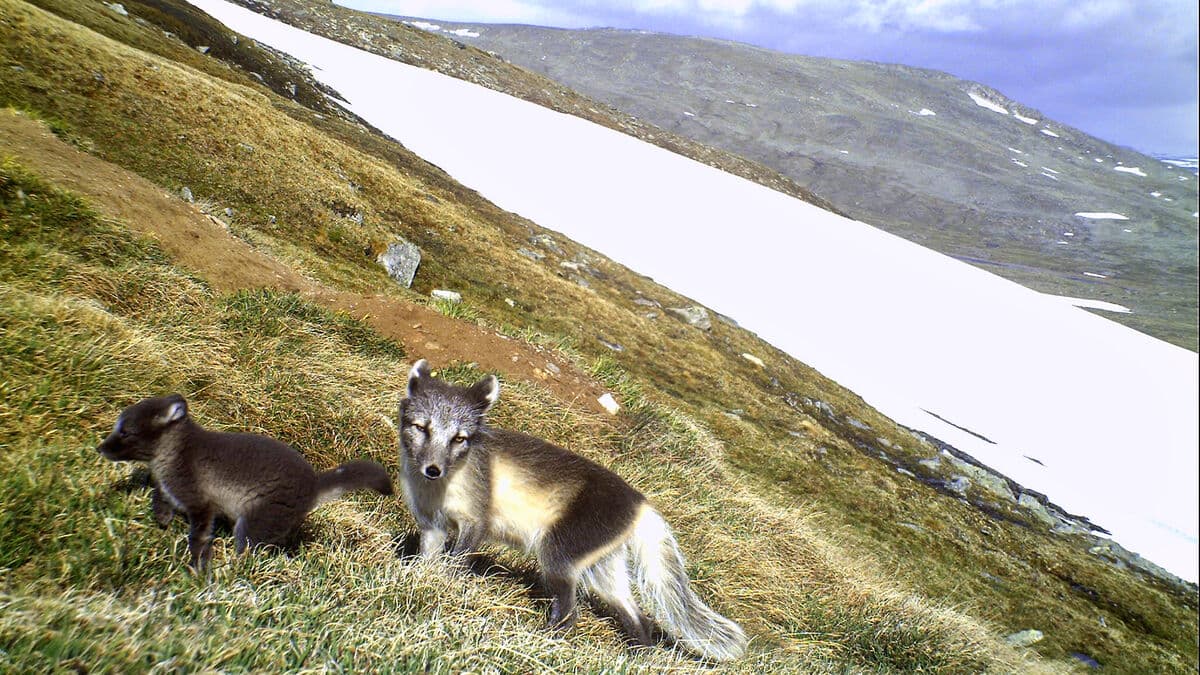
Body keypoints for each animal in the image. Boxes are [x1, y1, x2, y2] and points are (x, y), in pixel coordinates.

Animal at [97, 394, 394, 572]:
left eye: (125, 432)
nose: (100, 448)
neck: (176, 452)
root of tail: (314, 483)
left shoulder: (202, 505)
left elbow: (199, 535)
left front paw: (197, 566)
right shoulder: (170, 488)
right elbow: (159, 496)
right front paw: (162, 520)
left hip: (254, 521)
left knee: (248, 549)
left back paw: (233, 570)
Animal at [396, 360, 747, 661]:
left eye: (460, 438)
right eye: (422, 428)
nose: (433, 470)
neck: (442, 488)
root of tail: (641, 503)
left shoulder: (476, 519)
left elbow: (456, 561)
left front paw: (445, 585)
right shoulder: (432, 523)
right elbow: (429, 556)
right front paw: (422, 580)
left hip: (559, 554)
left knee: (570, 612)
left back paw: (544, 639)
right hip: (603, 567)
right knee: (636, 614)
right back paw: (638, 657)